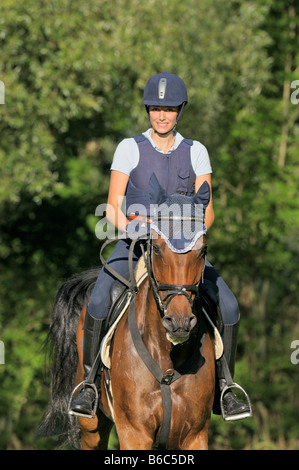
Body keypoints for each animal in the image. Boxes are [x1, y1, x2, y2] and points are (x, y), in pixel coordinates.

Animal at [38, 179, 218, 448]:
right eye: (157, 247)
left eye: (203, 250)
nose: (179, 321)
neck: (167, 358)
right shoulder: (134, 433)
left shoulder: (194, 435)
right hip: (92, 427)